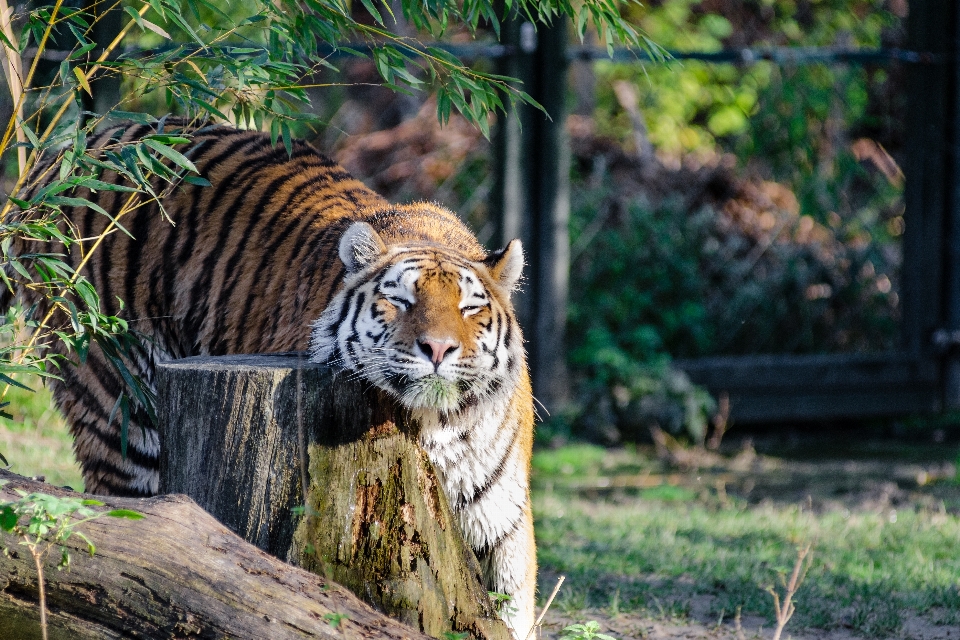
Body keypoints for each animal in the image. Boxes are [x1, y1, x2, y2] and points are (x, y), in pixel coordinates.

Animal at [11, 119, 540, 636]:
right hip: (117, 409)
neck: (434, 423)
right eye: (401, 300)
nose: (438, 349)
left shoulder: (502, 517)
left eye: (469, 308)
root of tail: (76, 146)